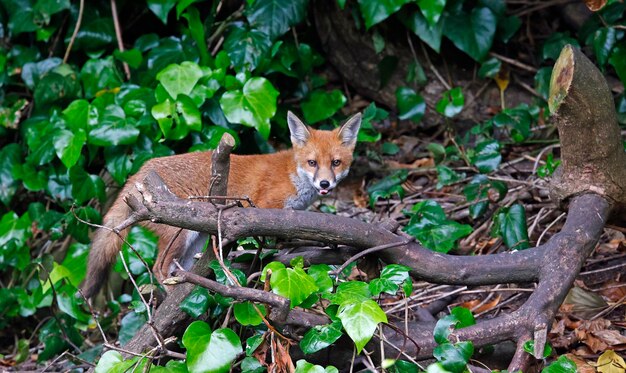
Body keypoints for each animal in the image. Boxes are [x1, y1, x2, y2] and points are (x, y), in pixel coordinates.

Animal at [80, 112, 360, 298]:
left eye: (335, 163)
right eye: (312, 163)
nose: (324, 183)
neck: (293, 175)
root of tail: (141, 170)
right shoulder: (263, 208)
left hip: (195, 239)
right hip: (179, 232)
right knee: (159, 268)